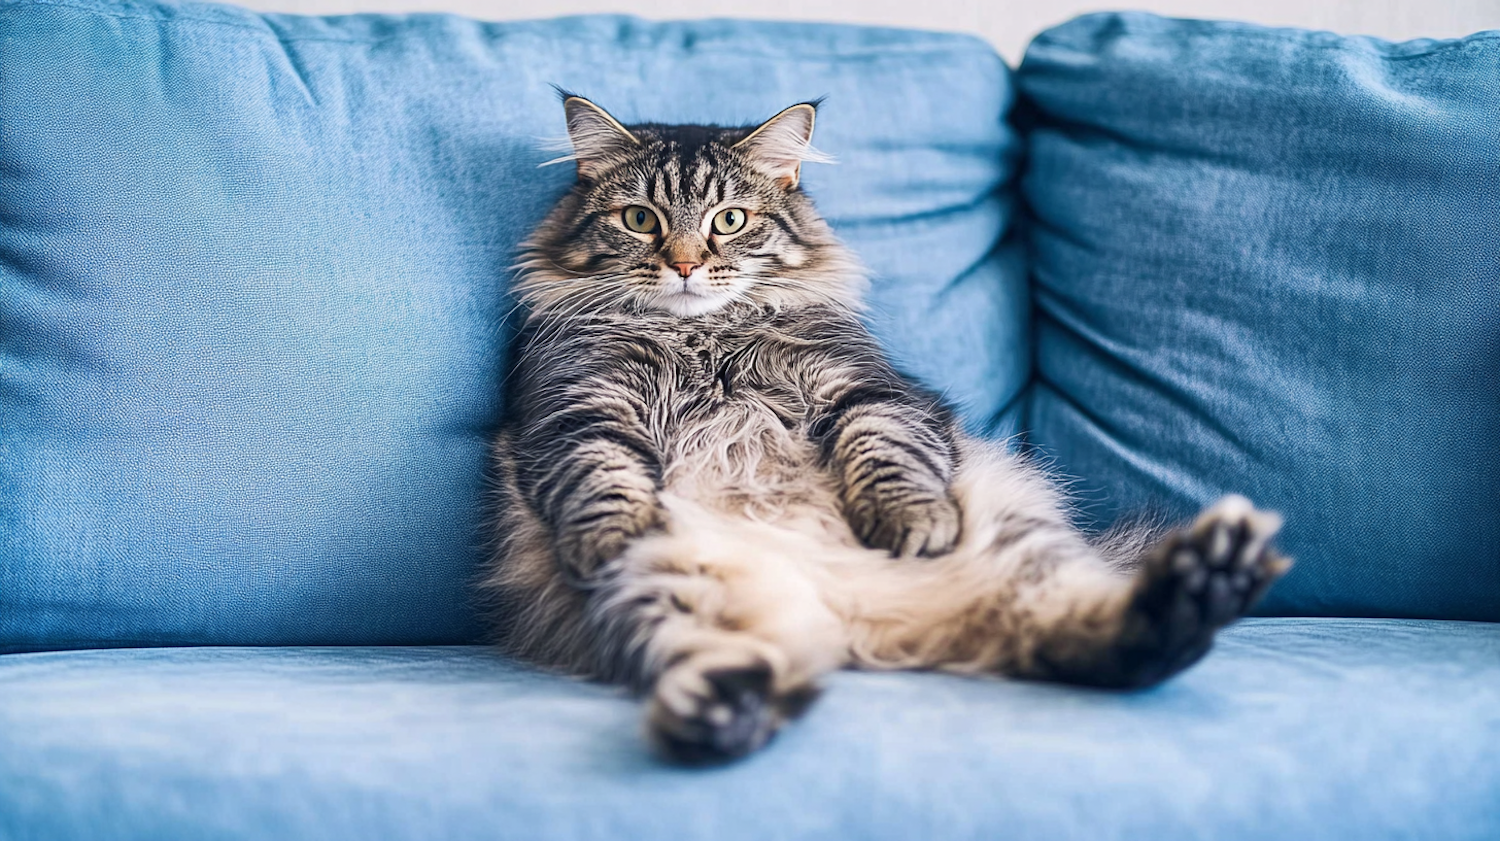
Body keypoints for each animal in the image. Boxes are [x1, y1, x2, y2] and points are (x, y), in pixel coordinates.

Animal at [483, 95, 1290, 764]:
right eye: (641, 220)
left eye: (729, 221)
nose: (683, 266)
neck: (701, 336)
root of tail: (860, 619)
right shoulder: (576, 409)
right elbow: (604, 481)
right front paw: (611, 538)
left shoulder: (868, 391)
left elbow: (885, 456)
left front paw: (908, 522)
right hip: (669, 584)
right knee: (731, 660)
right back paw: (718, 709)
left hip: (1015, 535)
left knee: (1084, 634)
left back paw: (1203, 582)